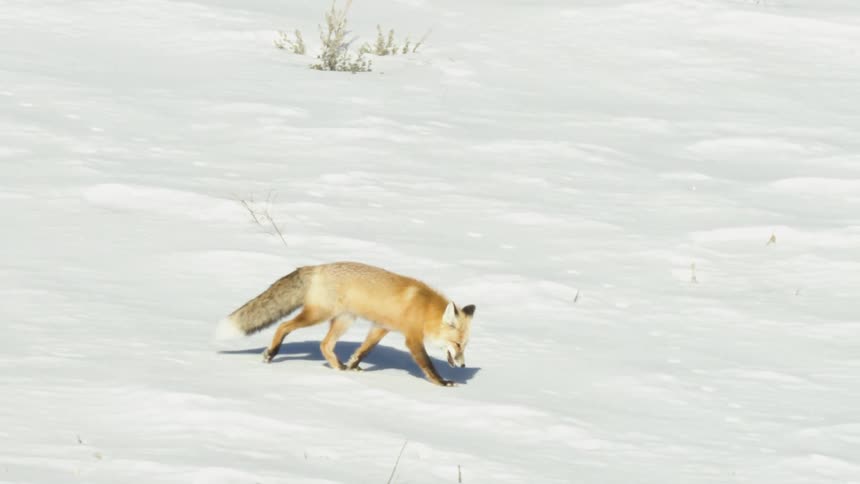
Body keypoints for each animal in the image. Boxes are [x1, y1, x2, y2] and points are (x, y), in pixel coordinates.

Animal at [215, 261, 476, 386]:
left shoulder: (380, 327)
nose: (463, 366)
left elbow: (364, 350)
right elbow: (427, 365)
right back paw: (271, 353)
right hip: (318, 315)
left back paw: (339, 367)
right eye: (458, 345)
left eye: (465, 346)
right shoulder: (411, 338)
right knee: (284, 326)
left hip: (344, 320)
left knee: (324, 345)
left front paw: (352, 364)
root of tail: (317, 267)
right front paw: (442, 382)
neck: (423, 309)